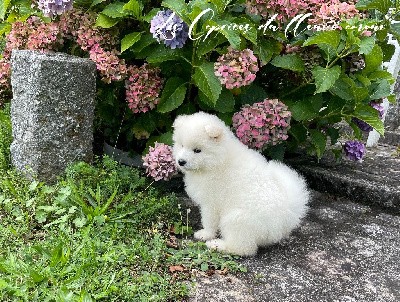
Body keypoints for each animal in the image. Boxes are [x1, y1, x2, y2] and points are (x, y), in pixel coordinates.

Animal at [172, 112, 310, 256]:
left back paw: (217, 245)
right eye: (181, 145)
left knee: (243, 247)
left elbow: (209, 221)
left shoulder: (211, 203)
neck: (218, 160)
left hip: (237, 219)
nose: (181, 161)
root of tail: (285, 215)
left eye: (197, 150)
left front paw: (205, 234)